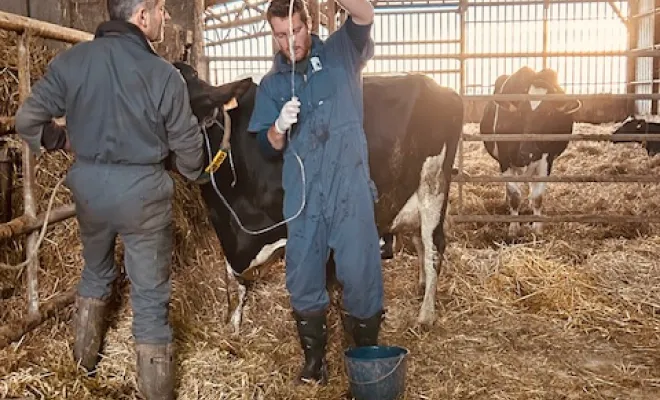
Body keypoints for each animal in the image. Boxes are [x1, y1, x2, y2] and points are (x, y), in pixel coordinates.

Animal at [173, 61, 462, 332]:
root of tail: (441, 88)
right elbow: (236, 282)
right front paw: (233, 324)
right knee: (420, 240)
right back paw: (421, 287)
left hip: (434, 184)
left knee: (434, 244)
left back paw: (426, 315)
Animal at [480, 67, 584, 236]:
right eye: (520, 113)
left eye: (549, 113)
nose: (529, 151)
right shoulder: (504, 159)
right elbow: (514, 195)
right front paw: (513, 228)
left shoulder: (546, 159)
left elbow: (537, 197)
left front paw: (537, 228)